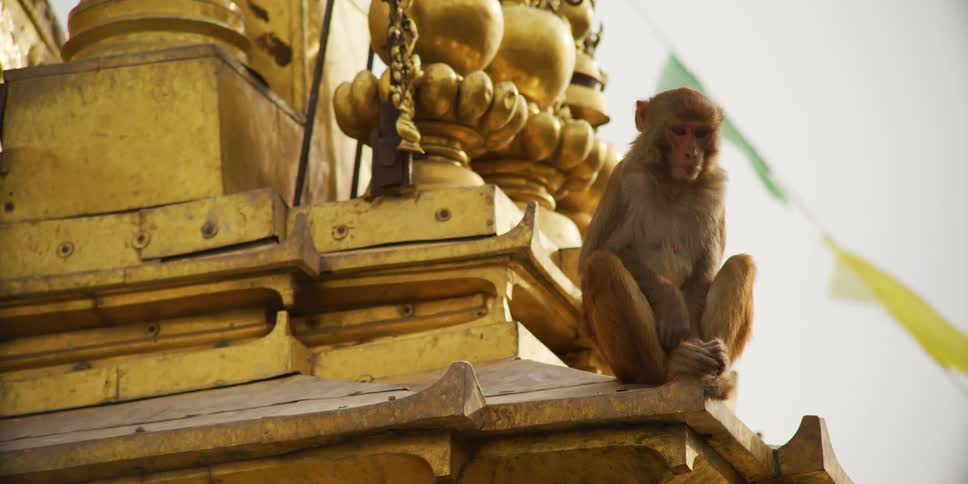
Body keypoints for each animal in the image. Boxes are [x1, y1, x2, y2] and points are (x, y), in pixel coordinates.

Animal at [578, 87, 755, 399]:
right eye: (679, 131)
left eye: (701, 133)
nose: (691, 153)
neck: (673, 185)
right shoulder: (626, 179)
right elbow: (600, 252)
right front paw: (671, 301)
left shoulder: (715, 190)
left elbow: (704, 270)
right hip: (616, 360)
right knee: (601, 265)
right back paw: (668, 369)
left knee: (741, 264)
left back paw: (706, 371)